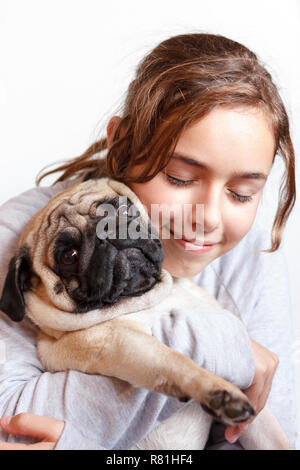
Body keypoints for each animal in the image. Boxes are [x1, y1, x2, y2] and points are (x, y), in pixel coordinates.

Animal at [0, 178, 290, 450]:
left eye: (123, 209)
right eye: (68, 256)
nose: (105, 232)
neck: (146, 299)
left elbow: (270, 433)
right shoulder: (120, 343)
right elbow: (176, 361)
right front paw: (216, 392)